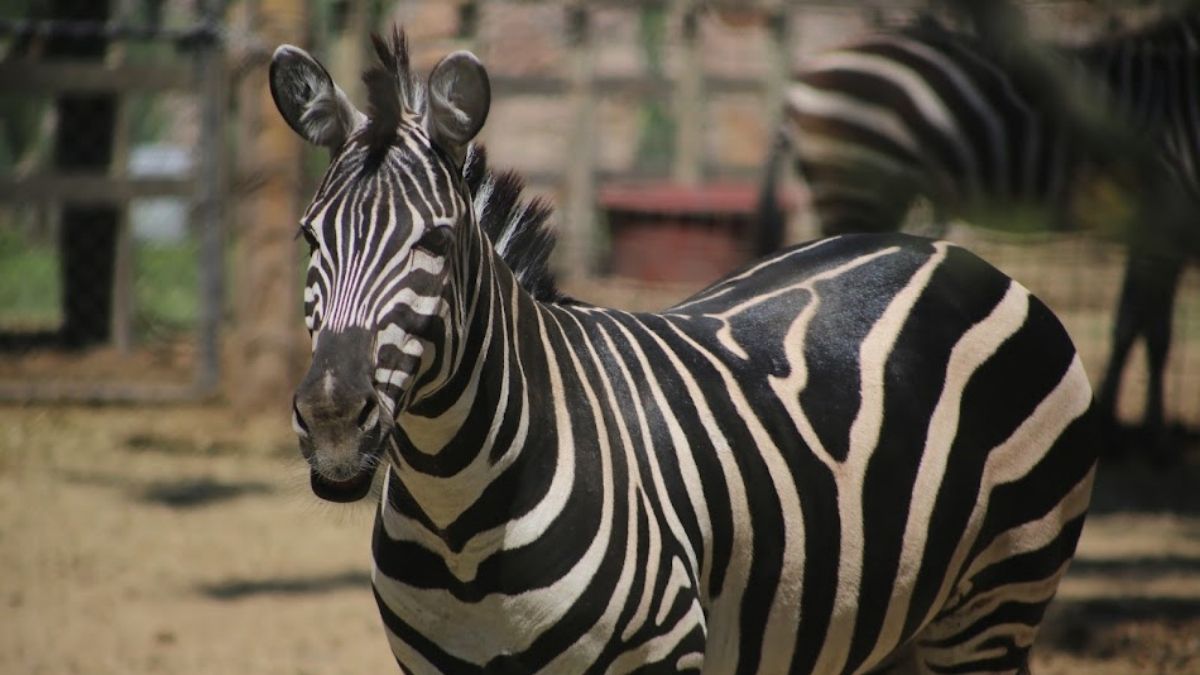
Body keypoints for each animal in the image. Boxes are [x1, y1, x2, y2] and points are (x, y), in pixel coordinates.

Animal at [272, 28, 1098, 673]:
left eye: (437, 242)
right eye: (310, 238)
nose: (334, 422)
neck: (462, 524)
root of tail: (952, 255)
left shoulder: (661, 653)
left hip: (998, 596)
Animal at [758, 11, 1200, 459]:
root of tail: (808, 69)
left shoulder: (1152, 228)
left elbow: (1137, 323)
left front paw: (1128, 429)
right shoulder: (1159, 213)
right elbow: (1149, 330)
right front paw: (1146, 436)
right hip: (854, 181)